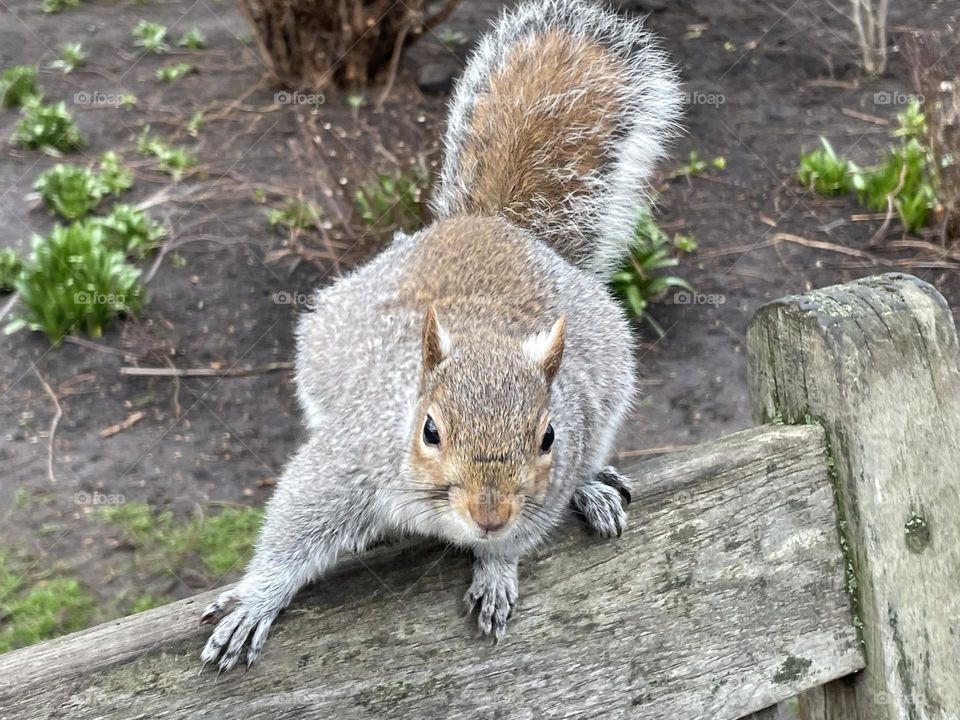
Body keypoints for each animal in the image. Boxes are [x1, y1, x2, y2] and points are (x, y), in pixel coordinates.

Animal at [200, 0, 682, 672]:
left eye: (547, 437)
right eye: (429, 430)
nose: (490, 514)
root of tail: (483, 225)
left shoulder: (549, 480)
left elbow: (520, 539)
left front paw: (497, 570)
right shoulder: (349, 461)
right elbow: (293, 526)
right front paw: (255, 600)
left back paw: (593, 488)